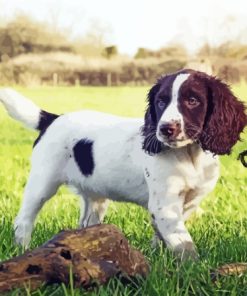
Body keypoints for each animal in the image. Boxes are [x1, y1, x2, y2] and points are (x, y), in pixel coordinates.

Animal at [0, 70, 246, 260]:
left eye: (193, 100)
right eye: (160, 102)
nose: (165, 129)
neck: (189, 154)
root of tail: (52, 119)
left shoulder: (189, 202)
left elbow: (166, 235)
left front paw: (160, 258)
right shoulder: (164, 205)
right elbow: (183, 242)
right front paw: (191, 268)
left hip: (95, 198)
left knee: (85, 225)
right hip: (43, 182)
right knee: (24, 220)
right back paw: (23, 251)